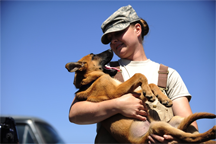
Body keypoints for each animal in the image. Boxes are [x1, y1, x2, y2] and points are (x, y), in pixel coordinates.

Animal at [66, 49, 216, 143]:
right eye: (93, 56)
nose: (110, 49)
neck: (91, 81)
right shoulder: (117, 93)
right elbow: (139, 75)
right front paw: (152, 93)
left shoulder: (133, 93)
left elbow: (150, 83)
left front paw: (162, 98)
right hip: (159, 128)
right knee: (190, 138)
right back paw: (212, 132)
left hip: (176, 120)